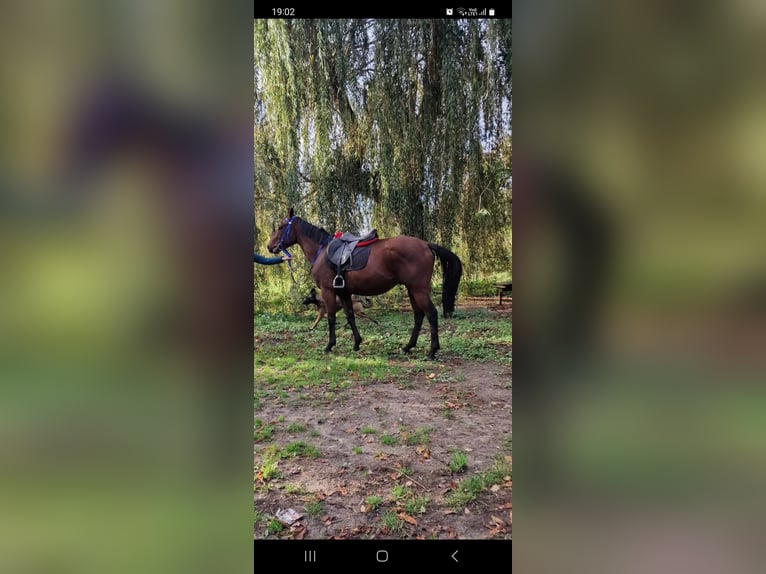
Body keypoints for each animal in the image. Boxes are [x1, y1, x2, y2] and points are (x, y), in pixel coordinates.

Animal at [270, 207, 462, 360]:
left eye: (280, 227)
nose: (269, 246)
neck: (322, 251)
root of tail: (426, 245)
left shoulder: (328, 291)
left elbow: (331, 318)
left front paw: (329, 346)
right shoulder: (344, 293)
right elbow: (350, 316)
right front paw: (357, 343)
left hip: (418, 289)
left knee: (431, 314)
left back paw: (432, 351)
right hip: (412, 290)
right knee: (419, 315)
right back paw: (408, 347)